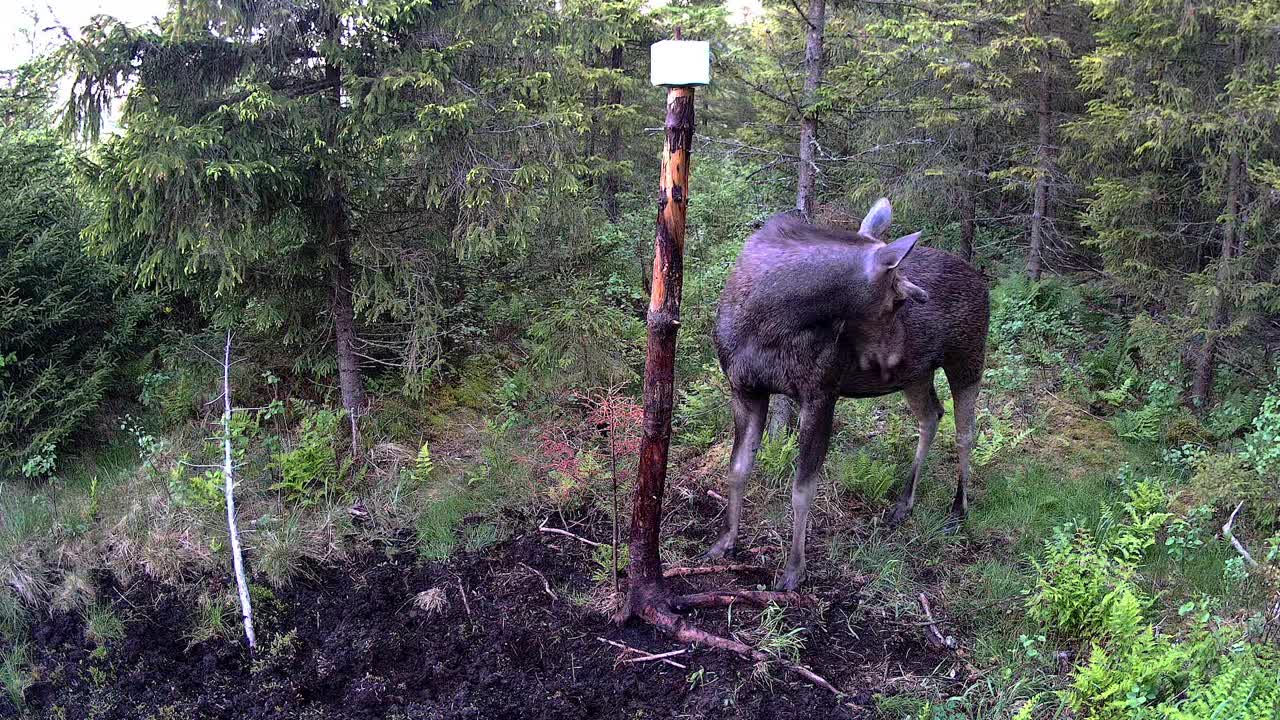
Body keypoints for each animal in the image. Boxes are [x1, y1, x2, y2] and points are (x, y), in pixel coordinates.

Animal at [711, 197, 988, 589]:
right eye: (897, 301)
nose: (892, 358)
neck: (764, 322)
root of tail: (982, 280)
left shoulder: (821, 393)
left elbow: (802, 489)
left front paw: (794, 569)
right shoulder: (744, 389)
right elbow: (737, 470)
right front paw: (725, 542)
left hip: (968, 357)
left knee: (965, 433)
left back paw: (957, 509)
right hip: (916, 374)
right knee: (931, 416)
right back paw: (904, 503)